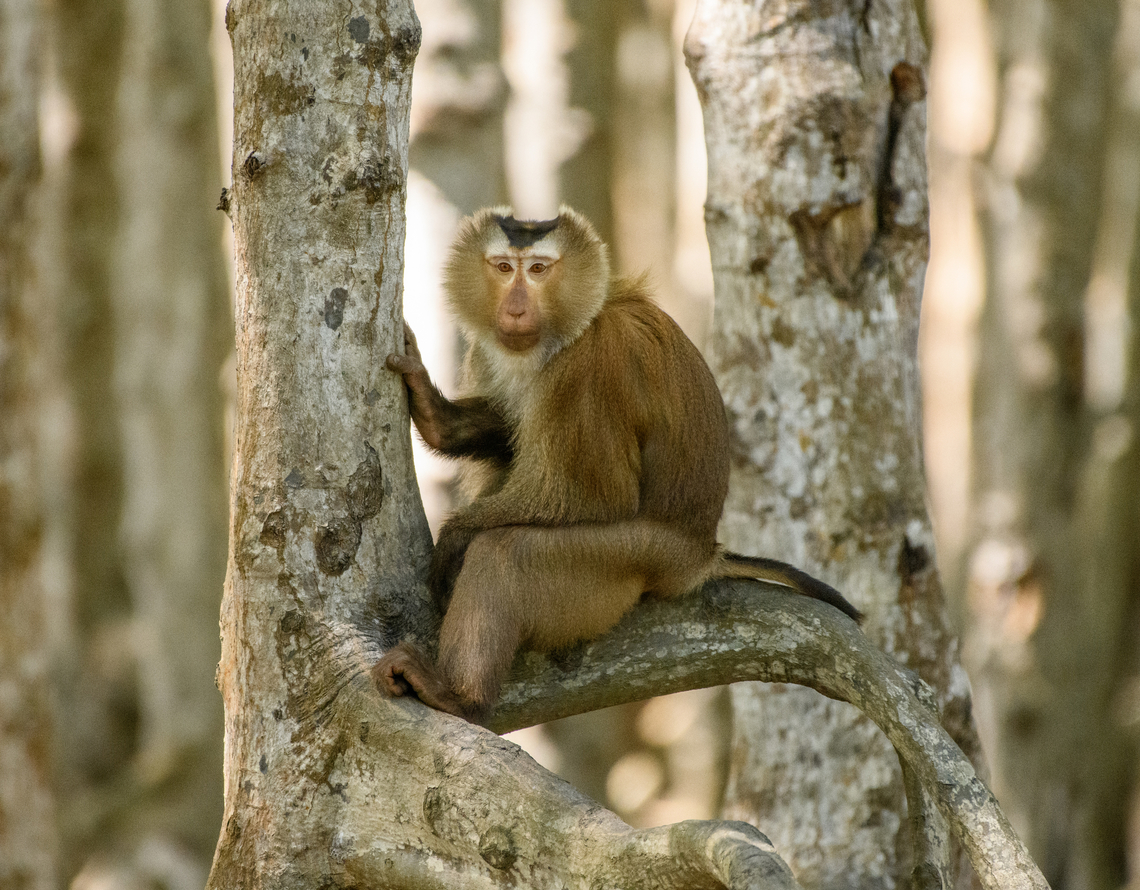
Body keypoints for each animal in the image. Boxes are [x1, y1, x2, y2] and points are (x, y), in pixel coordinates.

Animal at [373, 206, 861, 725]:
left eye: (539, 270)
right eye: (504, 267)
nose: (516, 309)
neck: (571, 327)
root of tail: (702, 553)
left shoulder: (588, 368)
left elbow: (591, 497)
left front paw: (456, 535)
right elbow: (510, 436)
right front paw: (436, 416)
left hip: (638, 555)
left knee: (507, 551)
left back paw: (459, 696)